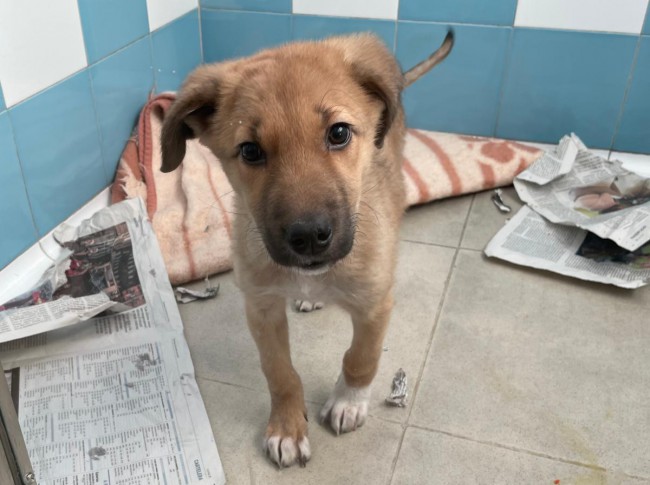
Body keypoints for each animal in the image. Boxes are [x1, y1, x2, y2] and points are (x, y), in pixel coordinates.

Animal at [161, 31, 453, 468]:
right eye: (250, 151)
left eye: (339, 133)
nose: (309, 237)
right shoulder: (261, 307)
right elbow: (279, 373)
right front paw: (286, 427)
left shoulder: (375, 303)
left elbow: (362, 357)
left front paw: (348, 401)